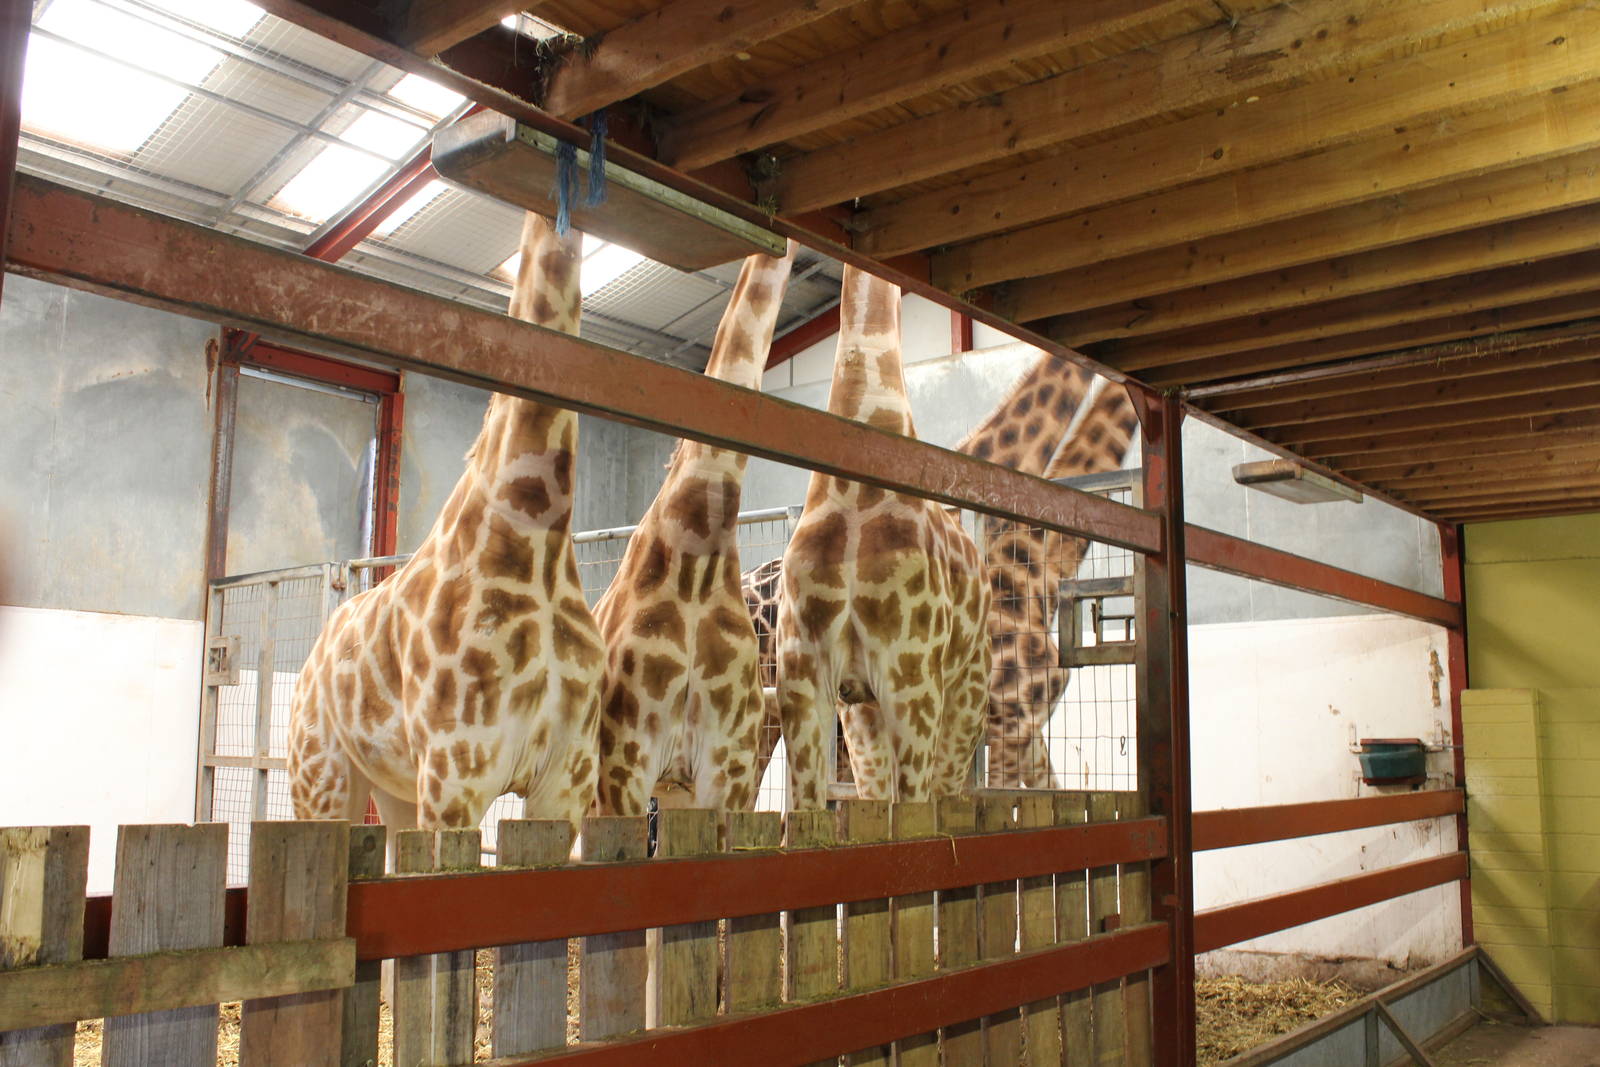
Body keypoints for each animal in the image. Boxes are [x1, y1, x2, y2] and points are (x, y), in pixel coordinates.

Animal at [287, 212, 605, 832]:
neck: (537, 530)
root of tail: (316, 651)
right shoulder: (456, 773)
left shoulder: (565, 780)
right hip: (321, 773)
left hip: (394, 786)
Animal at [775, 266, 991, 807]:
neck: (855, 494)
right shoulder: (813, 677)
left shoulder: (905, 680)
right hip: (875, 710)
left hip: (960, 691)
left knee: (945, 792)